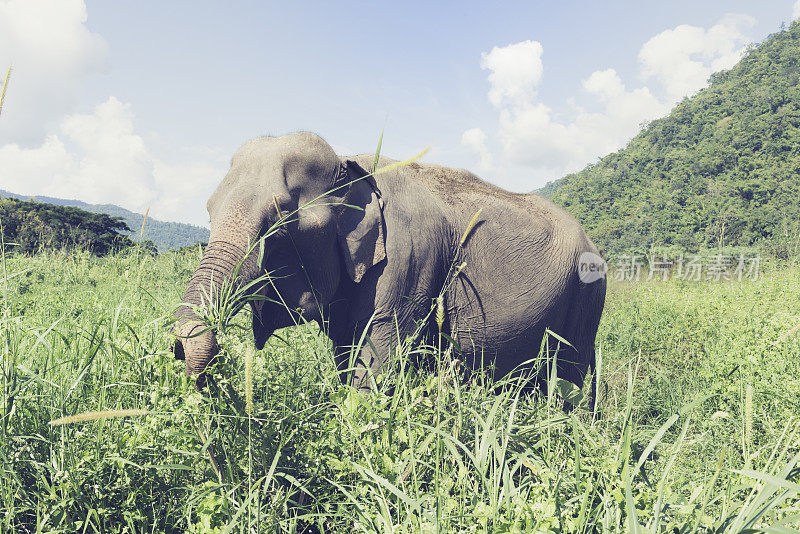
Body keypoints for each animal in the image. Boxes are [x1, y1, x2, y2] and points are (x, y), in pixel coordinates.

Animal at [170, 132, 608, 404]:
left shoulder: (410, 257)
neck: (350, 165)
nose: (179, 350)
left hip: (586, 299)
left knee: (568, 379)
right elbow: (347, 353)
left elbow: (377, 356)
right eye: (208, 209)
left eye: (280, 221)